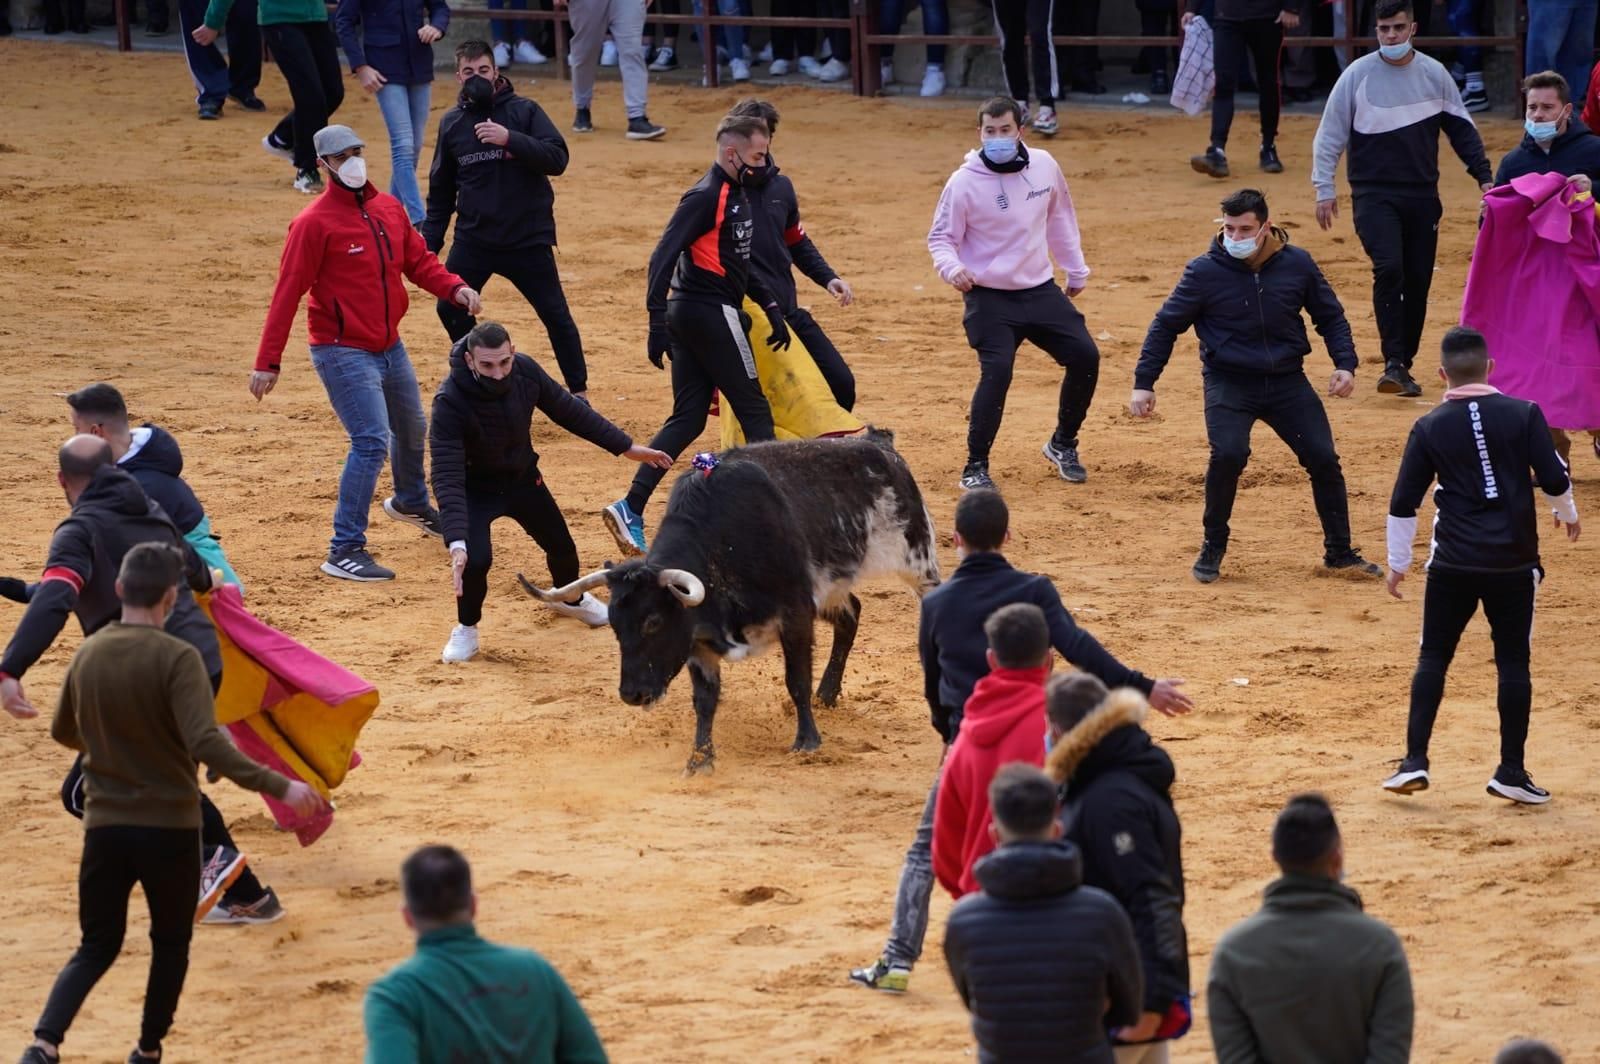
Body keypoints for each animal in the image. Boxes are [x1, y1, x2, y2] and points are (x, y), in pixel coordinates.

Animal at [518, 432, 934, 771]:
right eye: (616, 627)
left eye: (653, 621)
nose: (632, 695)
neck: (724, 544)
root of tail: (880, 444)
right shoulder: (697, 639)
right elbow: (705, 700)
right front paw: (700, 760)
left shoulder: (796, 614)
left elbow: (796, 680)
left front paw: (807, 742)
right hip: (832, 586)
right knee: (851, 616)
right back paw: (827, 696)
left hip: (918, 560)